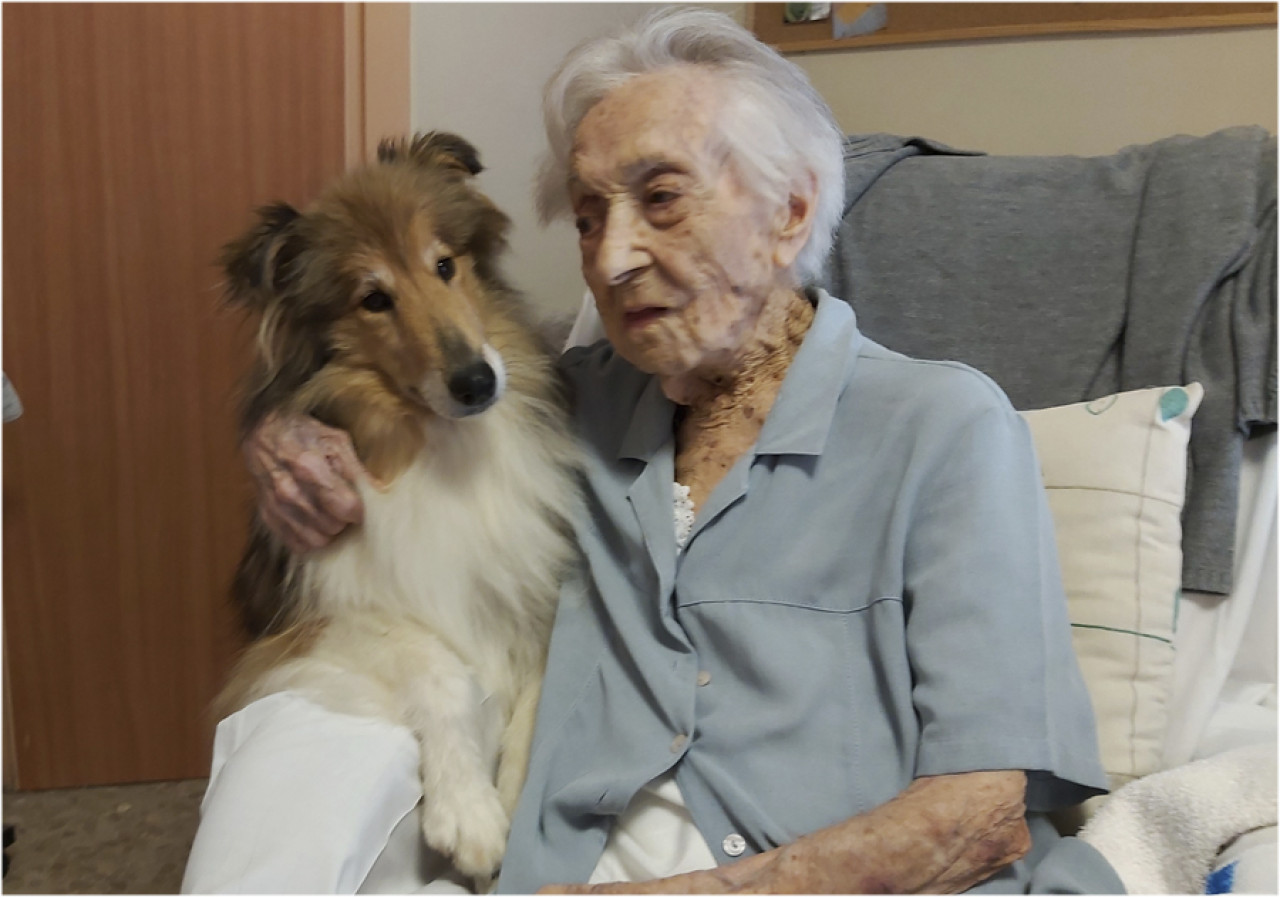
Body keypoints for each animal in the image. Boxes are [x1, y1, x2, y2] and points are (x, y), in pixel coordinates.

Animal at [218, 133, 581, 880]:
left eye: (445, 265)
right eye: (373, 298)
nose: (477, 382)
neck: (442, 449)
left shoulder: (533, 603)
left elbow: (538, 705)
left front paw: (513, 807)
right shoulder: (317, 620)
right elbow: (437, 665)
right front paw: (469, 813)